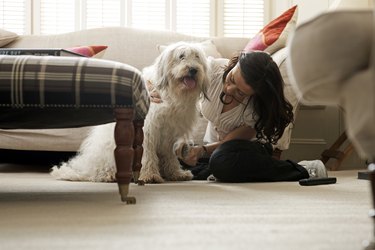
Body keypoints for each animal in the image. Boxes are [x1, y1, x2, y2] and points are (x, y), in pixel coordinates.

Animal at [50, 42, 210, 184]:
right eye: (181, 56)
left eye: (197, 57)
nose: (193, 69)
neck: (172, 93)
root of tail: (86, 170)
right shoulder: (148, 131)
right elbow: (147, 155)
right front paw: (149, 175)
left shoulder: (170, 134)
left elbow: (170, 157)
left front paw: (175, 173)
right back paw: (110, 176)